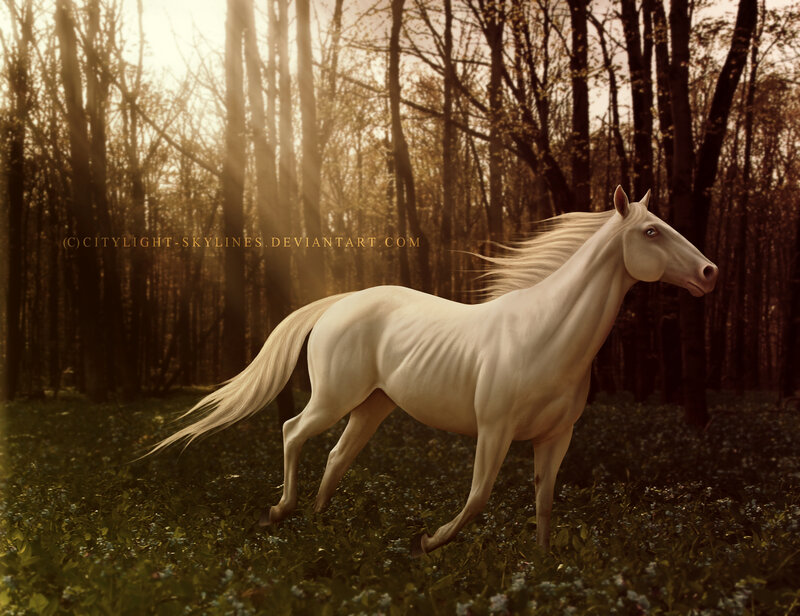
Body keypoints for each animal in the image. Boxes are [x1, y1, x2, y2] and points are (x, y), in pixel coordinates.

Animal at [149, 186, 718, 555]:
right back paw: (282, 511)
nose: (710, 272)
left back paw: (318, 522)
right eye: (652, 231)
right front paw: (429, 541)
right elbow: (478, 496)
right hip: (335, 398)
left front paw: (540, 568)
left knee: (337, 455)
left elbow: (544, 503)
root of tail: (340, 302)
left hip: (373, 406)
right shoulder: (495, 429)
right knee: (293, 432)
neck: (544, 333)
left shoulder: (556, 437)